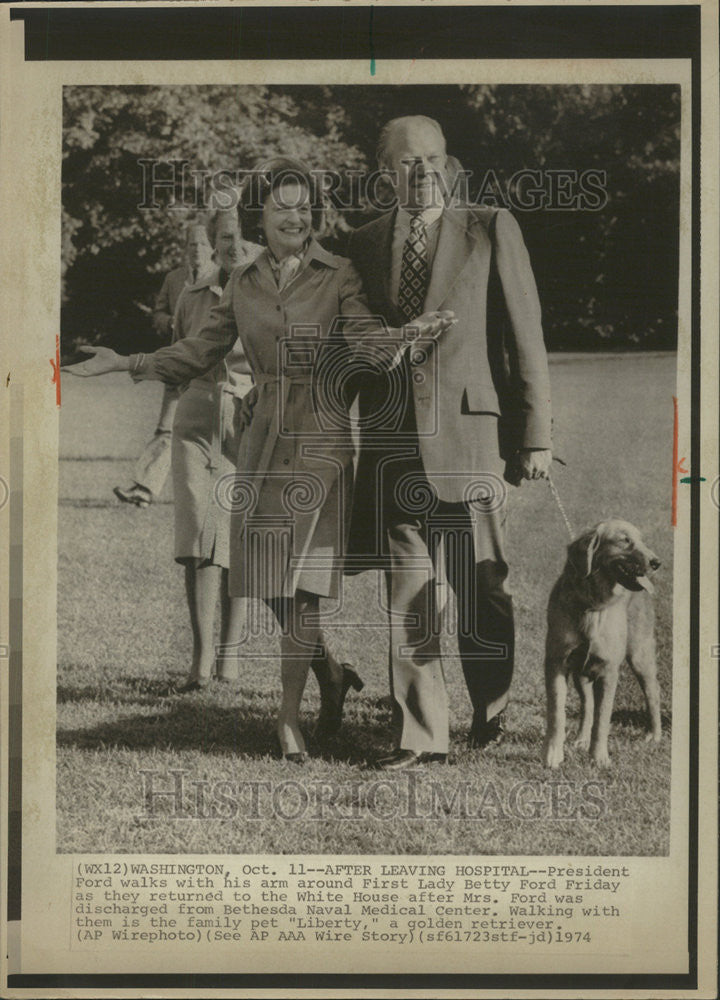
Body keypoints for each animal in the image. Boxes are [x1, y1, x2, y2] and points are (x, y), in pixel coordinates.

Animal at [544, 520, 660, 768]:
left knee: (653, 693)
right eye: (625, 540)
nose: (657, 562)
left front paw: (598, 757)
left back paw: (655, 735)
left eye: (641, 540)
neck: (592, 604)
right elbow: (557, 713)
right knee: (587, 705)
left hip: (640, 656)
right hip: (580, 673)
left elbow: (603, 719)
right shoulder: (557, 663)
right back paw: (581, 739)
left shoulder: (608, 671)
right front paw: (553, 754)